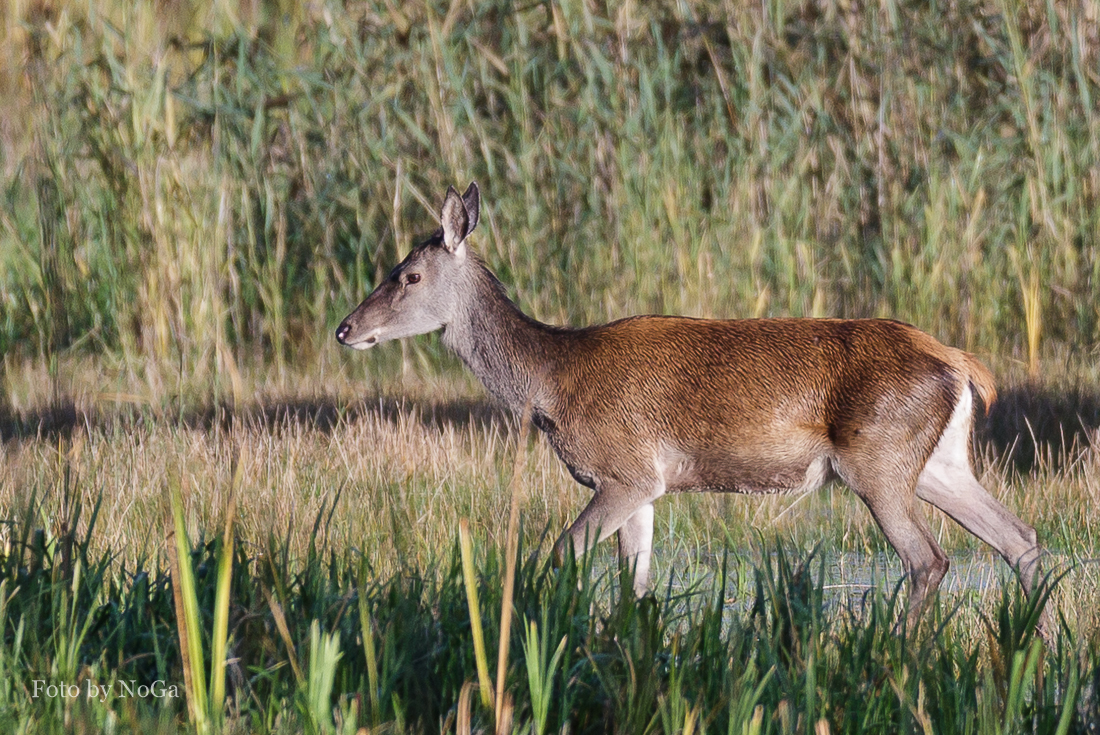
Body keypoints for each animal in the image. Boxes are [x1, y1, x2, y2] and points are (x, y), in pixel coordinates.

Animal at [334, 182, 1047, 633]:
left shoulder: (624, 471)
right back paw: (1033, 655)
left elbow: (558, 556)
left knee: (930, 560)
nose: (344, 329)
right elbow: (638, 587)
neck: (549, 382)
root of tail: (960, 364)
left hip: (877, 459)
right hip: (939, 462)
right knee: (1022, 539)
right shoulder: (644, 488)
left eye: (408, 276)